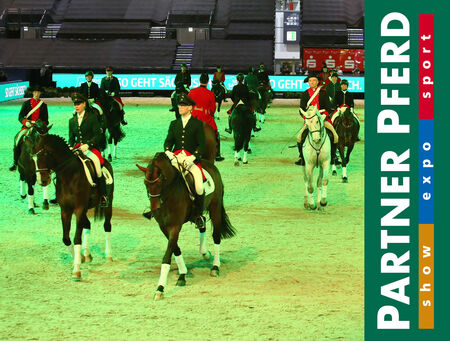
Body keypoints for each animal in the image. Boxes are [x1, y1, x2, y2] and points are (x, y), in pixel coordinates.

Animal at [25, 126, 114, 280]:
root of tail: (106, 163)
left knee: (107, 226)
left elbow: (76, 238)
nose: (43, 181)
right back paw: (87, 254)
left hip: (108, 203)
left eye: (45, 155)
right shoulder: (66, 210)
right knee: (87, 225)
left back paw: (108, 255)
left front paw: (76, 269)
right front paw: (80, 259)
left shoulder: (78, 208)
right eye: (33, 158)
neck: (69, 175)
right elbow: (66, 238)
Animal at [136, 153, 236, 298]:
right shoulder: (164, 227)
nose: (154, 208)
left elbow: (167, 255)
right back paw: (205, 253)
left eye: (159, 182)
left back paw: (215, 267)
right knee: (202, 223)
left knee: (216, 237)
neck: (169, 193)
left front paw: (160, 288)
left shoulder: (175, 226)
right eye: (145, 183)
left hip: (215, 208)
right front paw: (182, 275)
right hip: (197, 215)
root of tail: (210, 165)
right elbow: (176, 249)